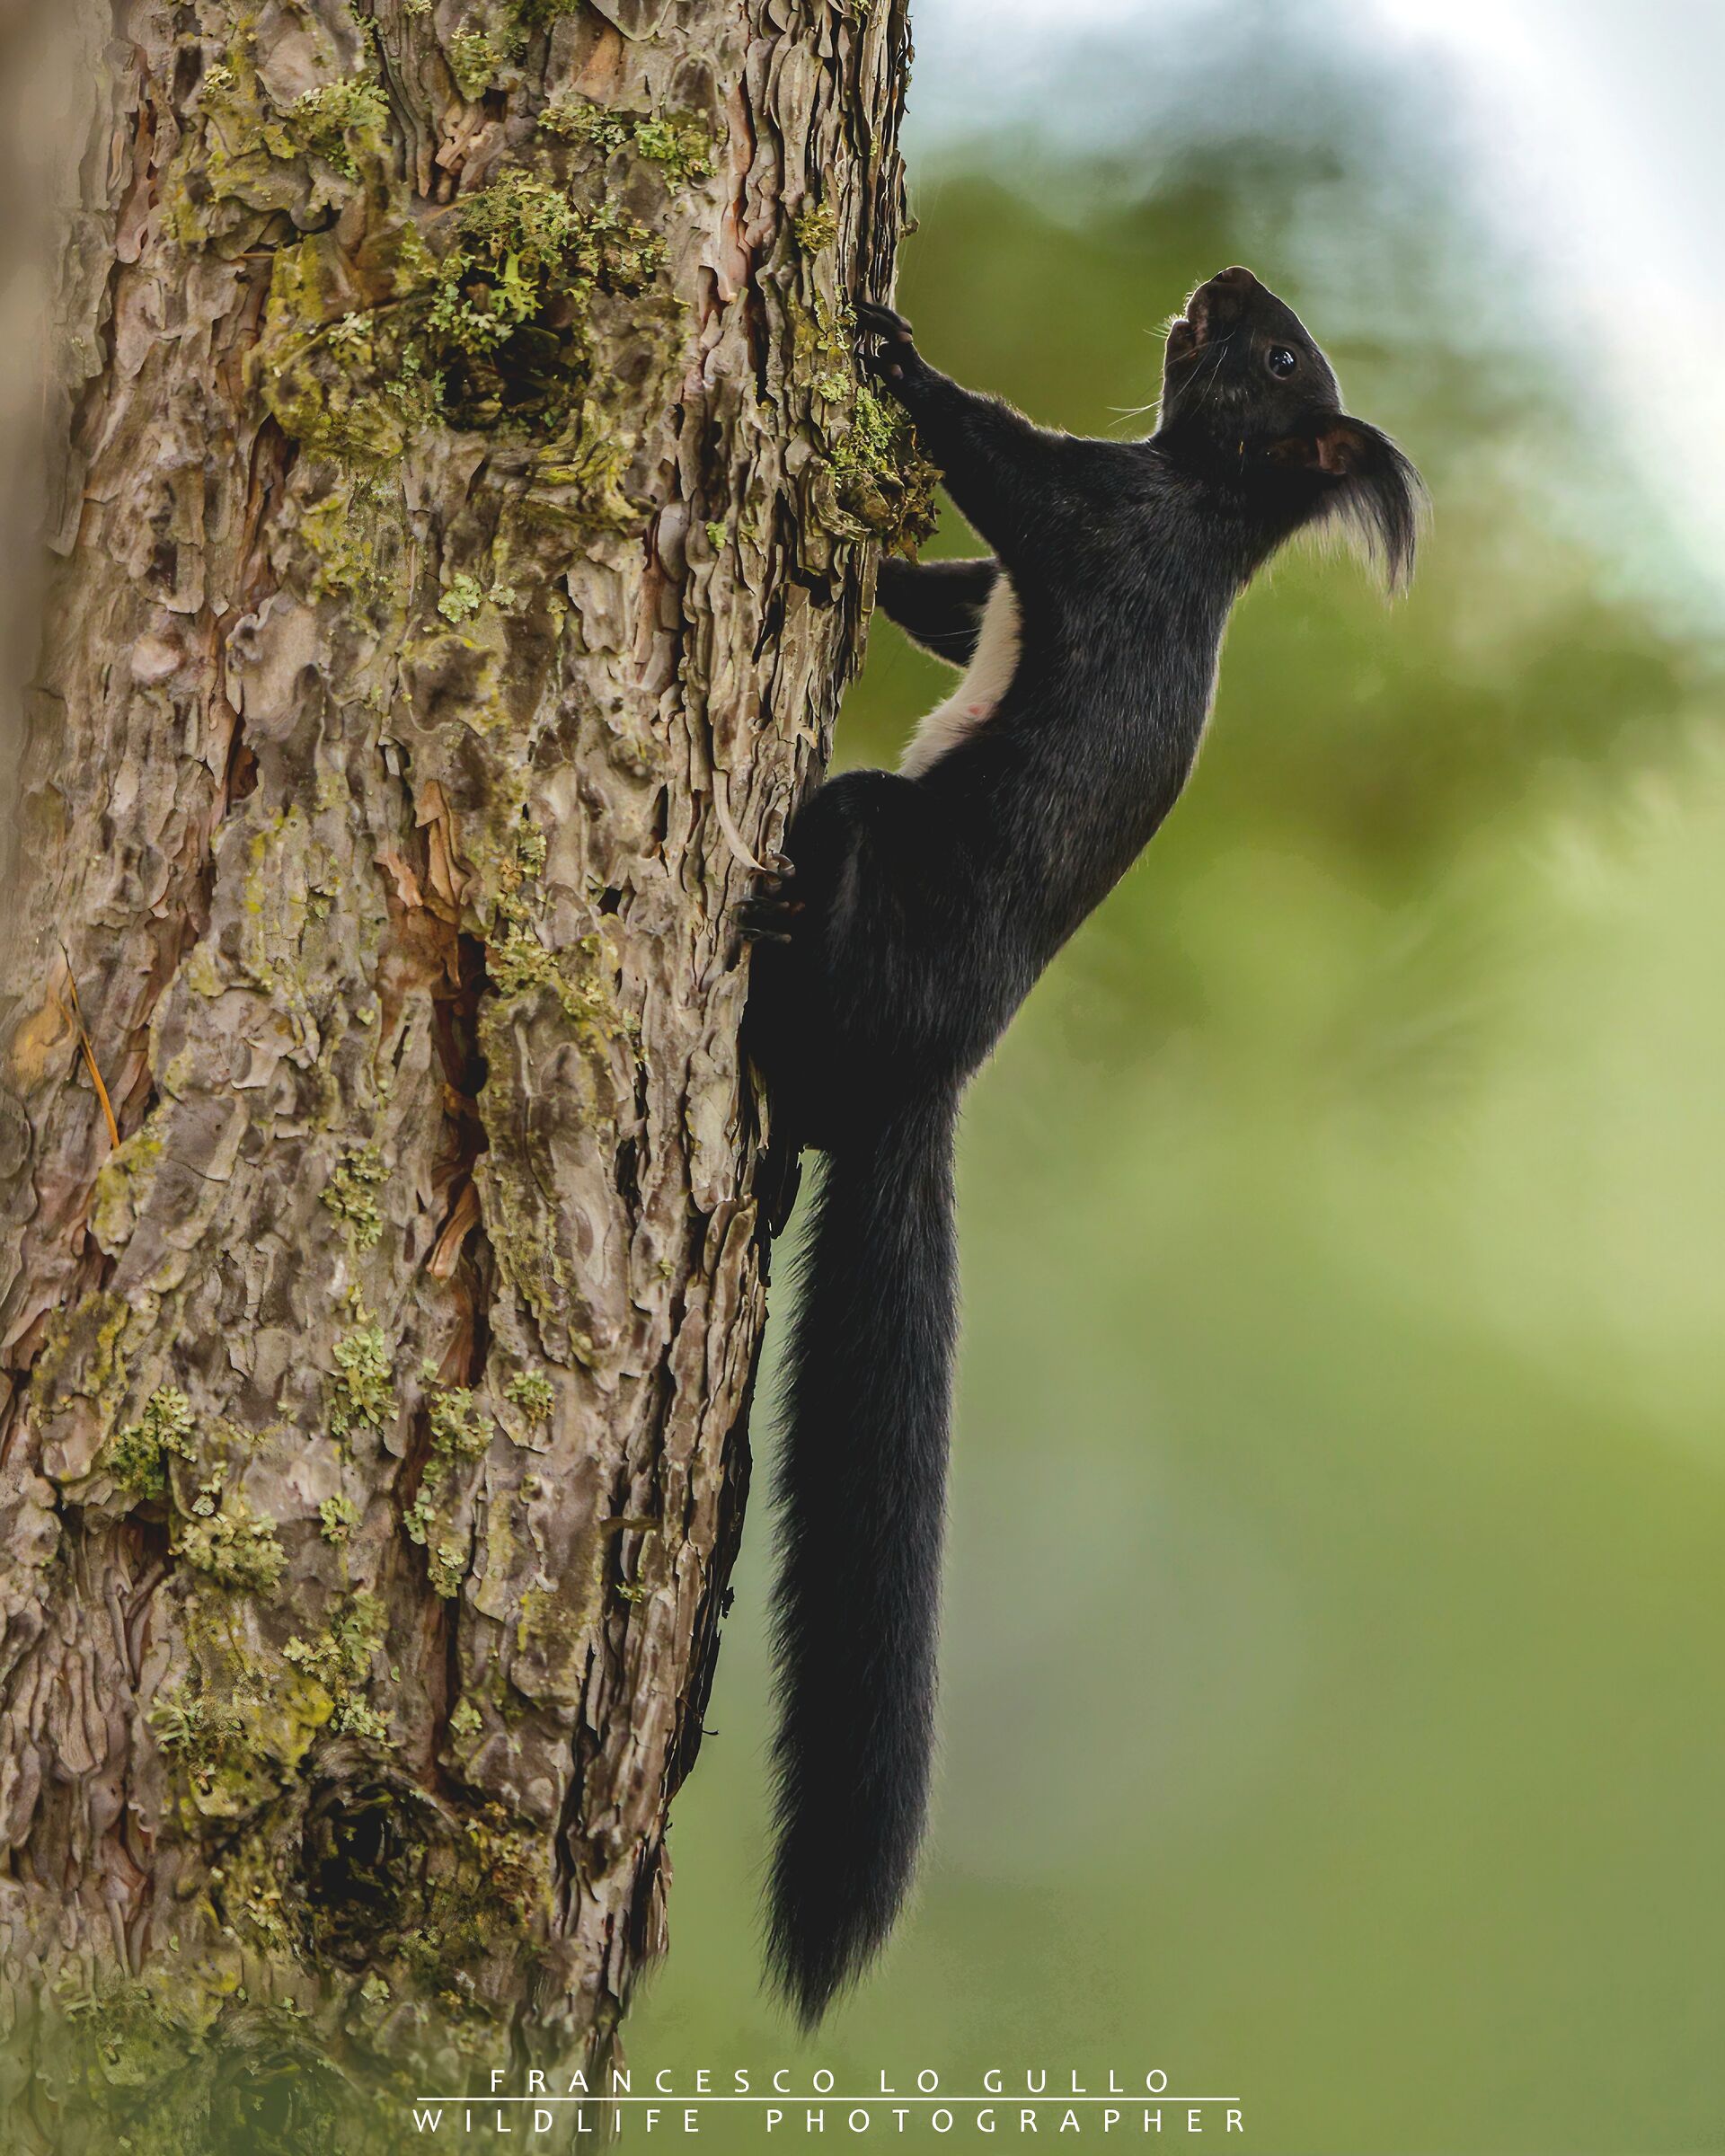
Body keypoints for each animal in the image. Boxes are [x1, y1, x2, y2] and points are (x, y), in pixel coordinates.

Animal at [740, 265, 1423, 2026]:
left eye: (1276, 356)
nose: (1227, 280)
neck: (1208, 503)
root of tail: (929, 1079)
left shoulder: (1102, 525)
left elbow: (1006, 471)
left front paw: (894, 350)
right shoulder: (1041, 566)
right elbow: (949, 598)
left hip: (873, 860)